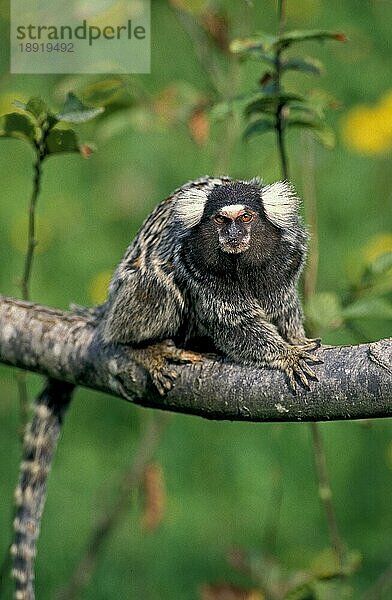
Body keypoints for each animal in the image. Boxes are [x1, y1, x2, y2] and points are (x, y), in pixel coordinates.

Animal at [102, 173, 322, 392]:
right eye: (221, 219)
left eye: (245, 217)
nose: (233, 234)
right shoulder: (195, 264)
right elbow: (233, 323)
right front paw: (287, 354)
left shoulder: (288, 258)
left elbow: (283, 305)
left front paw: (296, 338)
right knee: (158, 286)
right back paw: (143, 350)